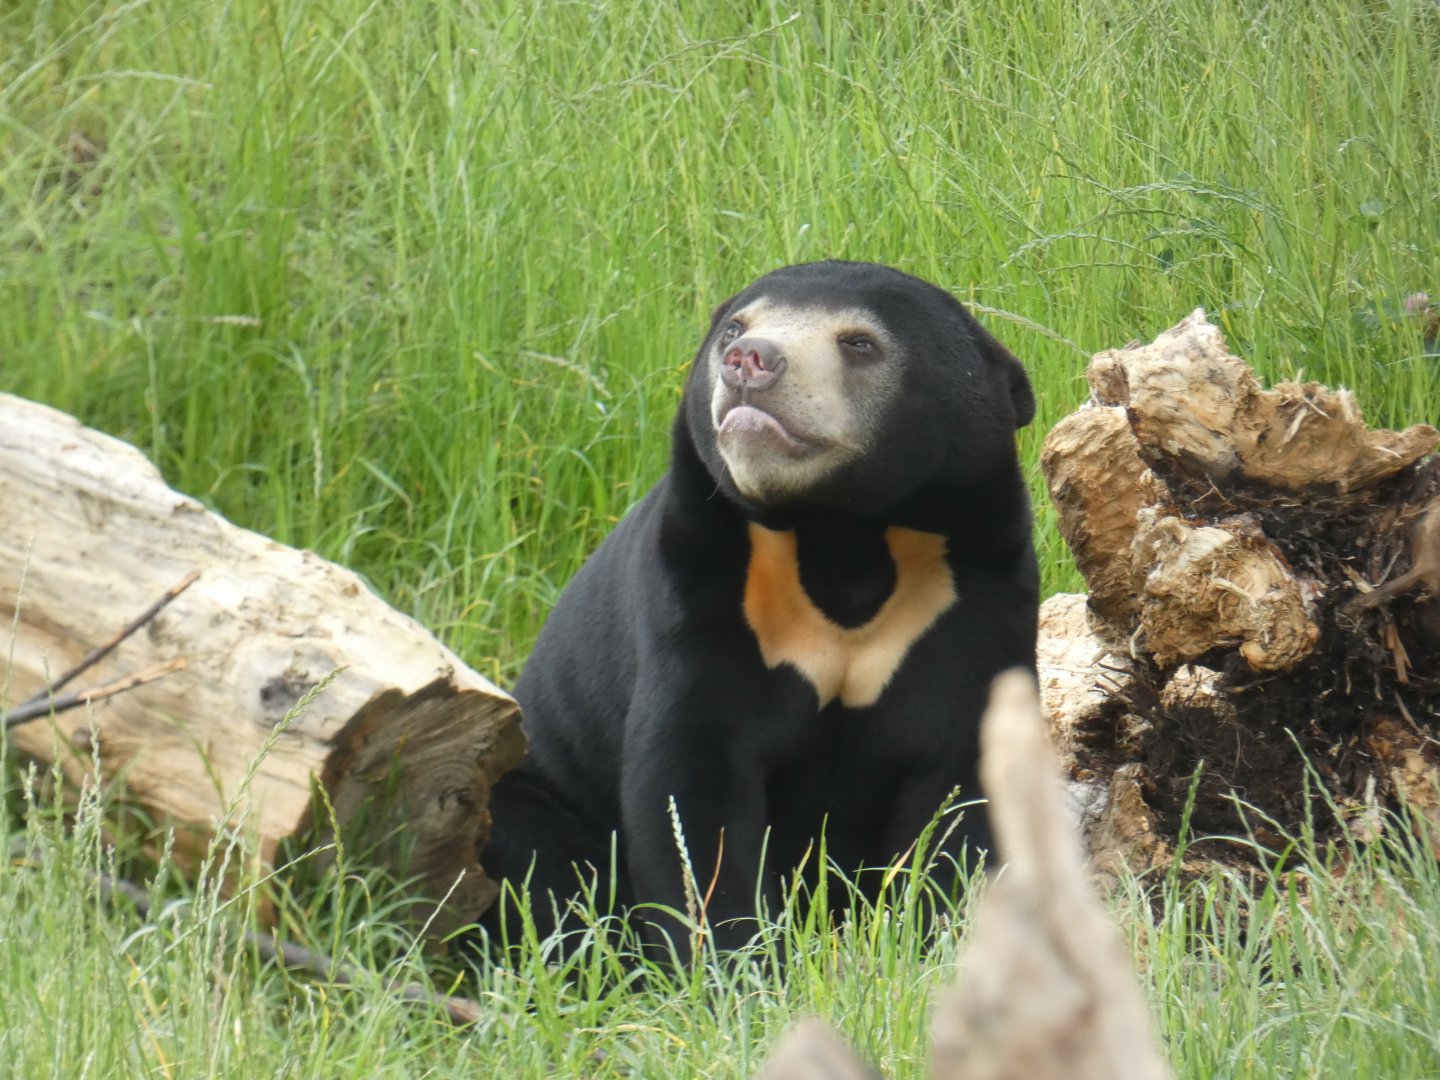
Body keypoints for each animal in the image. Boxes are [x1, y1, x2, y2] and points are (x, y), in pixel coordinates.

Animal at [479, 260, 1038, 959]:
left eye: (859, 342)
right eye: (734, 328)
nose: (749, 360)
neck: (841, 535)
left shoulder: (972, 600)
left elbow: (963, 780)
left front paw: (936, 939)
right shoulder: (707, 594)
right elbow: (692, 786)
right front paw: (733, 960)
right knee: (533, 858)